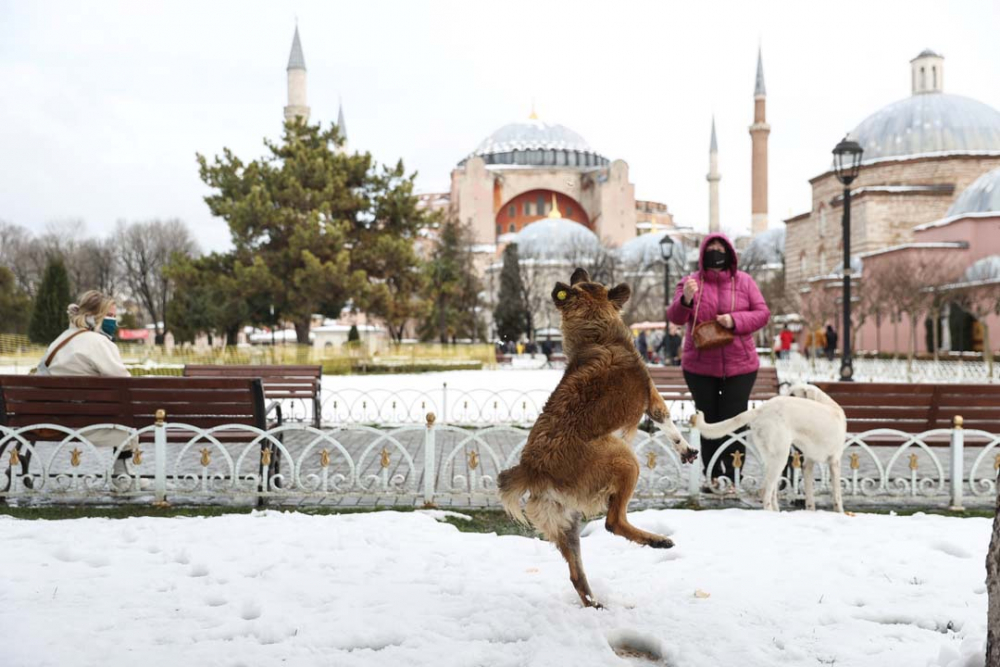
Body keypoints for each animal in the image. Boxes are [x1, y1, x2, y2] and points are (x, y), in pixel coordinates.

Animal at [498, 268, 696, 608]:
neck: (596, 333)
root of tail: (532, 469)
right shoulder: (651, 395)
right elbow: (667, 421)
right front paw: (685, 449)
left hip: (565, 523)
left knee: (577, 574)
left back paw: (596, 605)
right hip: (624, 459)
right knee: (613, 521)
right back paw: (658, 542)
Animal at [692, 384, 848, 516]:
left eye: (793, 394)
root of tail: (761, 409)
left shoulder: (807, 464)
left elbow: (809, 497)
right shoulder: (834, 462)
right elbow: (837, 496)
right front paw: (840, 513)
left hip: (772, 459)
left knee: (772, 491)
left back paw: (777, 514)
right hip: (781, 457)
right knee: (765, 491)